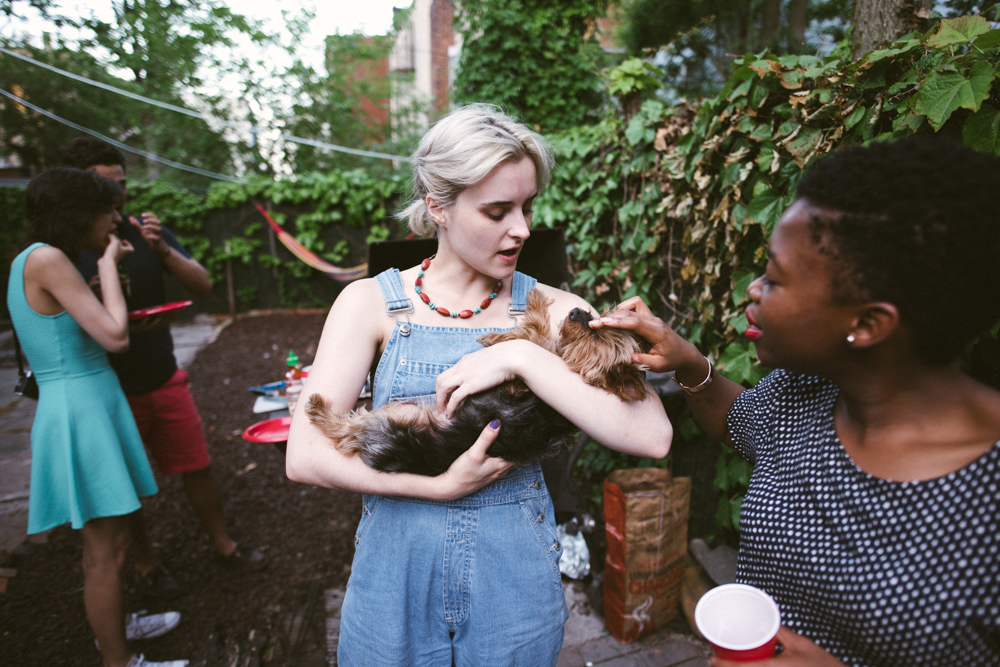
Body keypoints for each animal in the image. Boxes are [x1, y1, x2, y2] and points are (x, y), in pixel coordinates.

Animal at [305, 289, 648, 476]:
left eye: (598, 336)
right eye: (596, 317)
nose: (577, 310)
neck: (570, 368)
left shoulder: (522, 384)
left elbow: (534, 338)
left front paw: (521, 318)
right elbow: (535, 337)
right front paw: (501, 334)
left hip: (391, 424)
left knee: (343, 432)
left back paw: (317, 408)